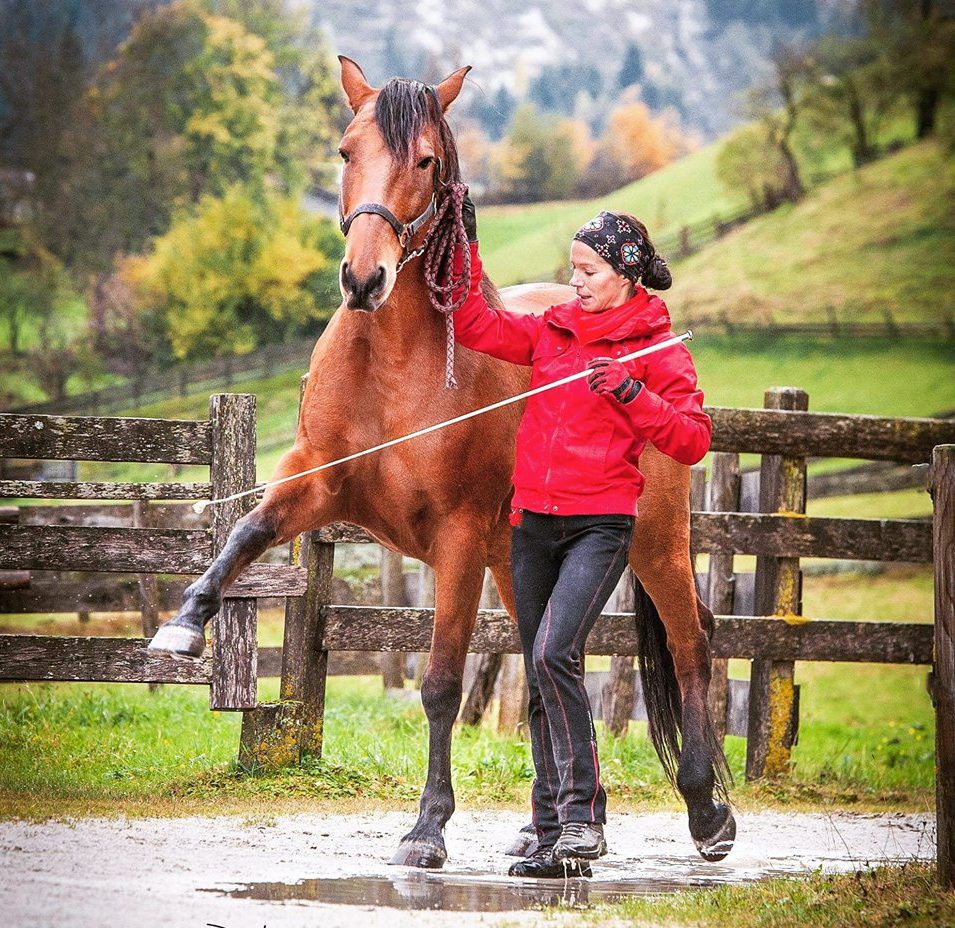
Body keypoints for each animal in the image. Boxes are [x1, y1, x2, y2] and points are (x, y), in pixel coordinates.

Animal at [149, 56, 736, 872]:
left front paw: (426, 829)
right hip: (518, 565)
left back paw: (706, 813)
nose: (364, 280)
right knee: (551, 674)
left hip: (650, 540)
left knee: (690, 644)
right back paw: (550, 829)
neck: (393, 366)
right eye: (344, 150)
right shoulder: (314, 484)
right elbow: (243, 535)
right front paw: (183, 626)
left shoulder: (455, 540)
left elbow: (440, 685)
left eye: (425, 161)